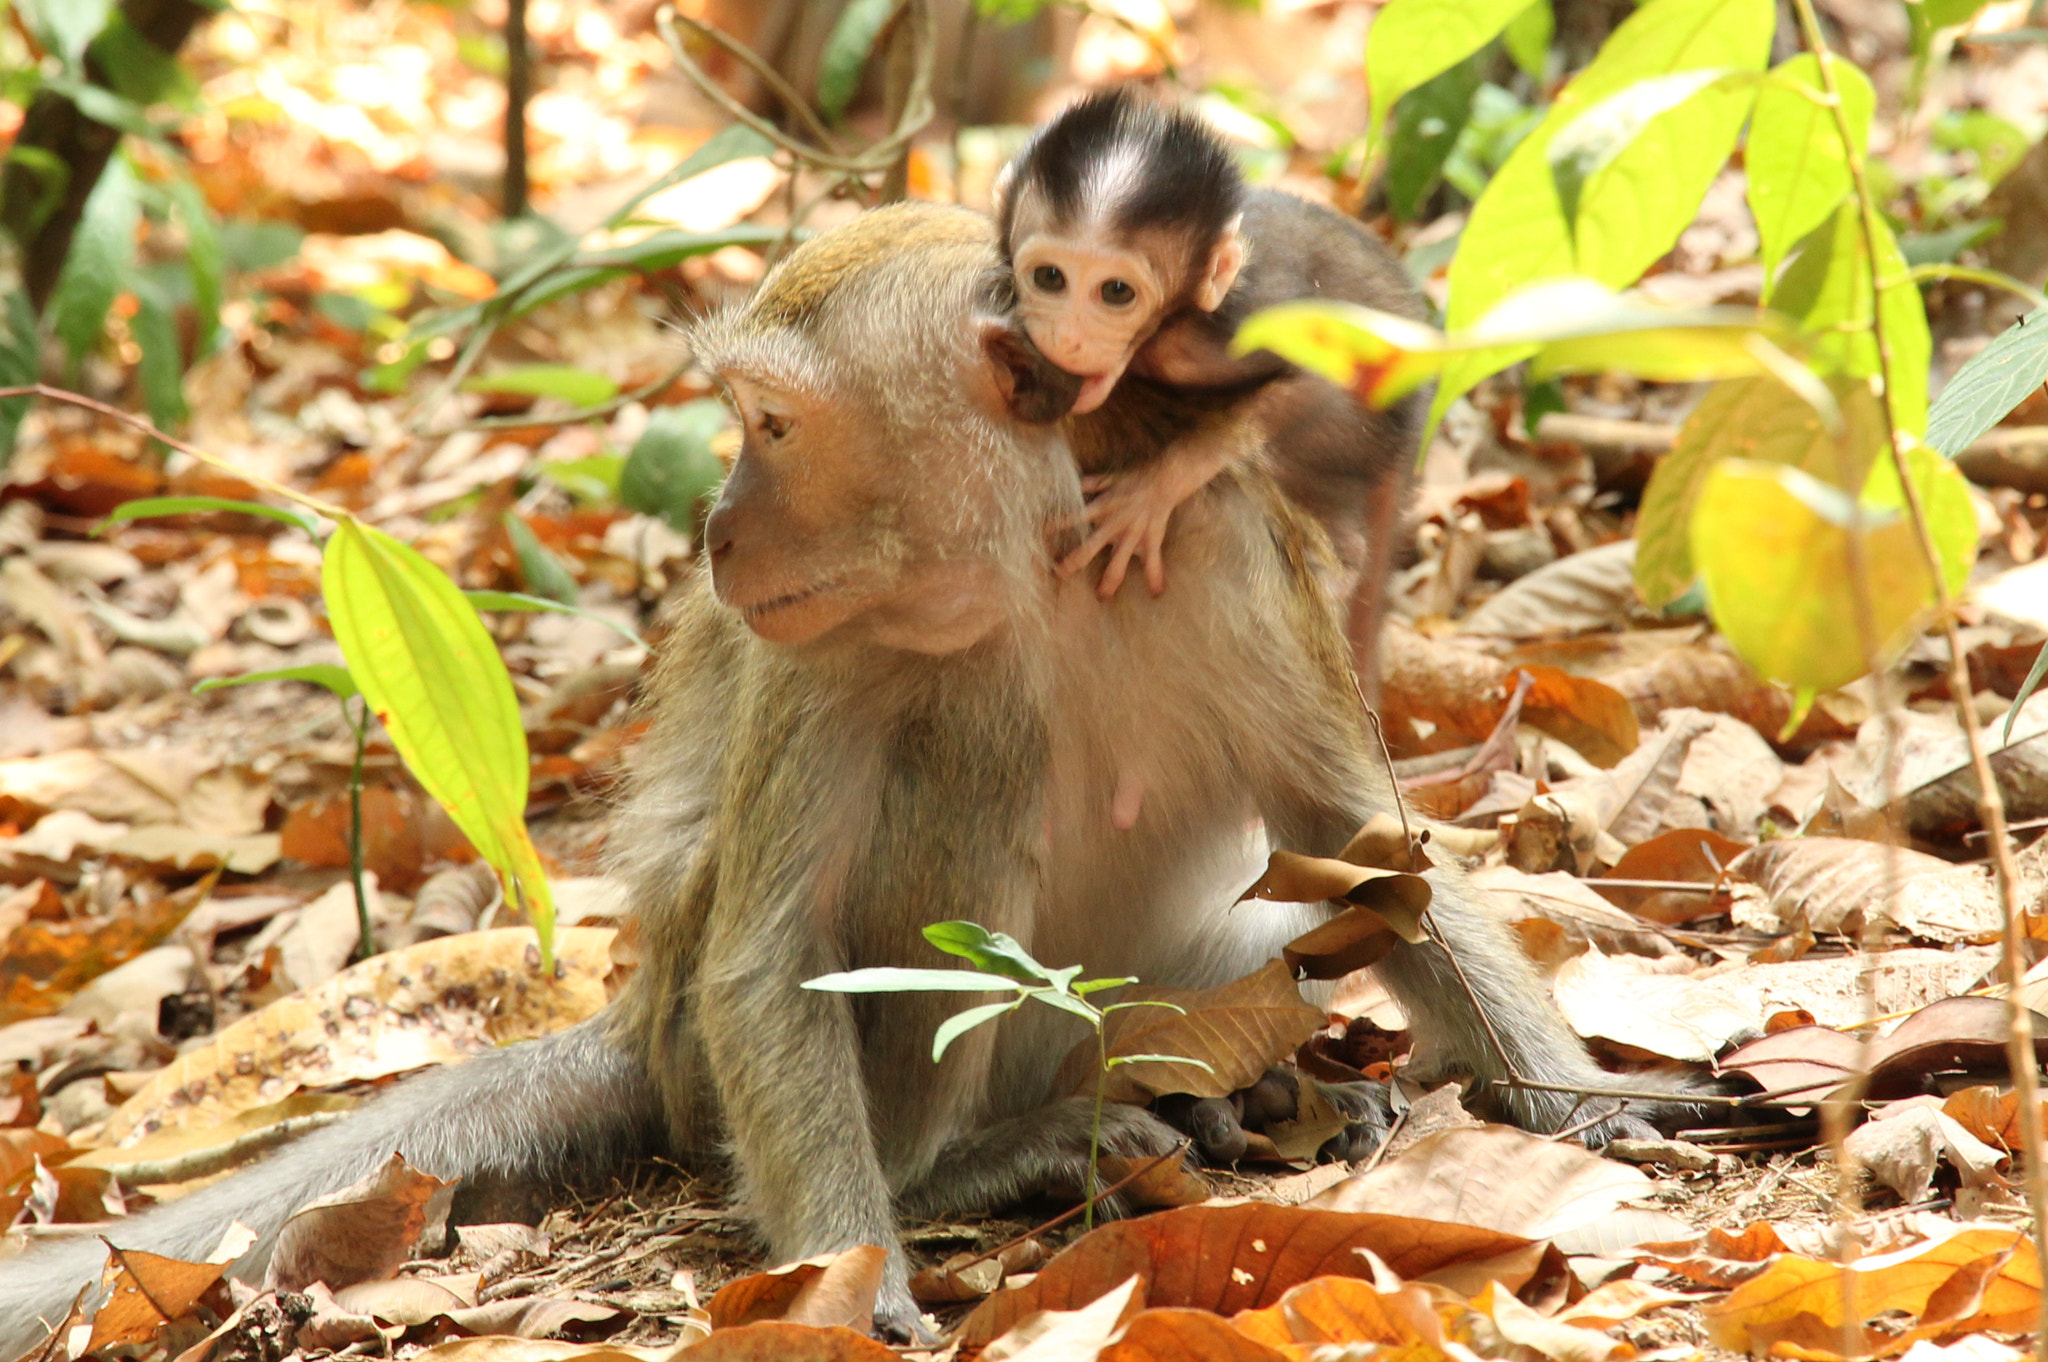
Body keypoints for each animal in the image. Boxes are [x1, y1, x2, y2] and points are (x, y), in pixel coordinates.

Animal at [0, 203, 1694, 1355]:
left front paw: (1582, 1098)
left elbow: (1360, 848)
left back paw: (1273, 1084)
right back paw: (987, 1161)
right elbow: (772, 958)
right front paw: (856, 1279)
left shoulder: (1219, 550)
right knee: (964, 795)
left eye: (769, 422)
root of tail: (637, 1016)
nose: (718, 529)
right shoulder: (824, 648)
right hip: (718, 1047)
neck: (1032, 566)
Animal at [993, 86, 1428, 689]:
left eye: (1116, 292)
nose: (1069, 338)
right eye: (1050, 278)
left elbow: (1326, 385)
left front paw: (1156, 489)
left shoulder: (1221, 332)